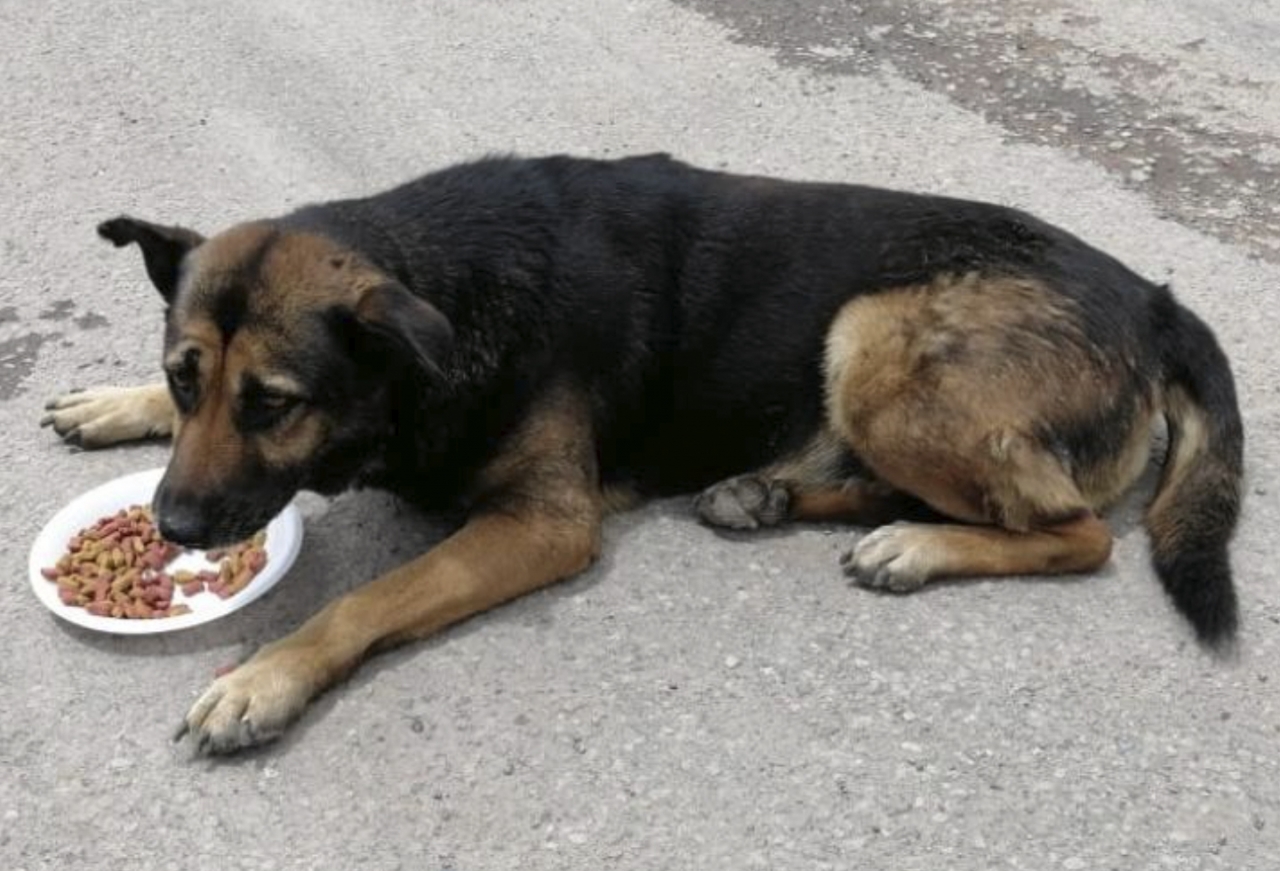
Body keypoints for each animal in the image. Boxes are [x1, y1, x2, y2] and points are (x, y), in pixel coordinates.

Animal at [40, 153, 1239, 753]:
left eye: (274, 404)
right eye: (187, 379)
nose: (173, 528)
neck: (441, 297)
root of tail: (1152, 295)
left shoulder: (539, 525)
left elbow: (362, 602)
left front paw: (264, 679)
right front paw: (116, 401)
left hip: (869, 337)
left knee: (1074, 531)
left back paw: (912, 545)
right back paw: (765, 493)